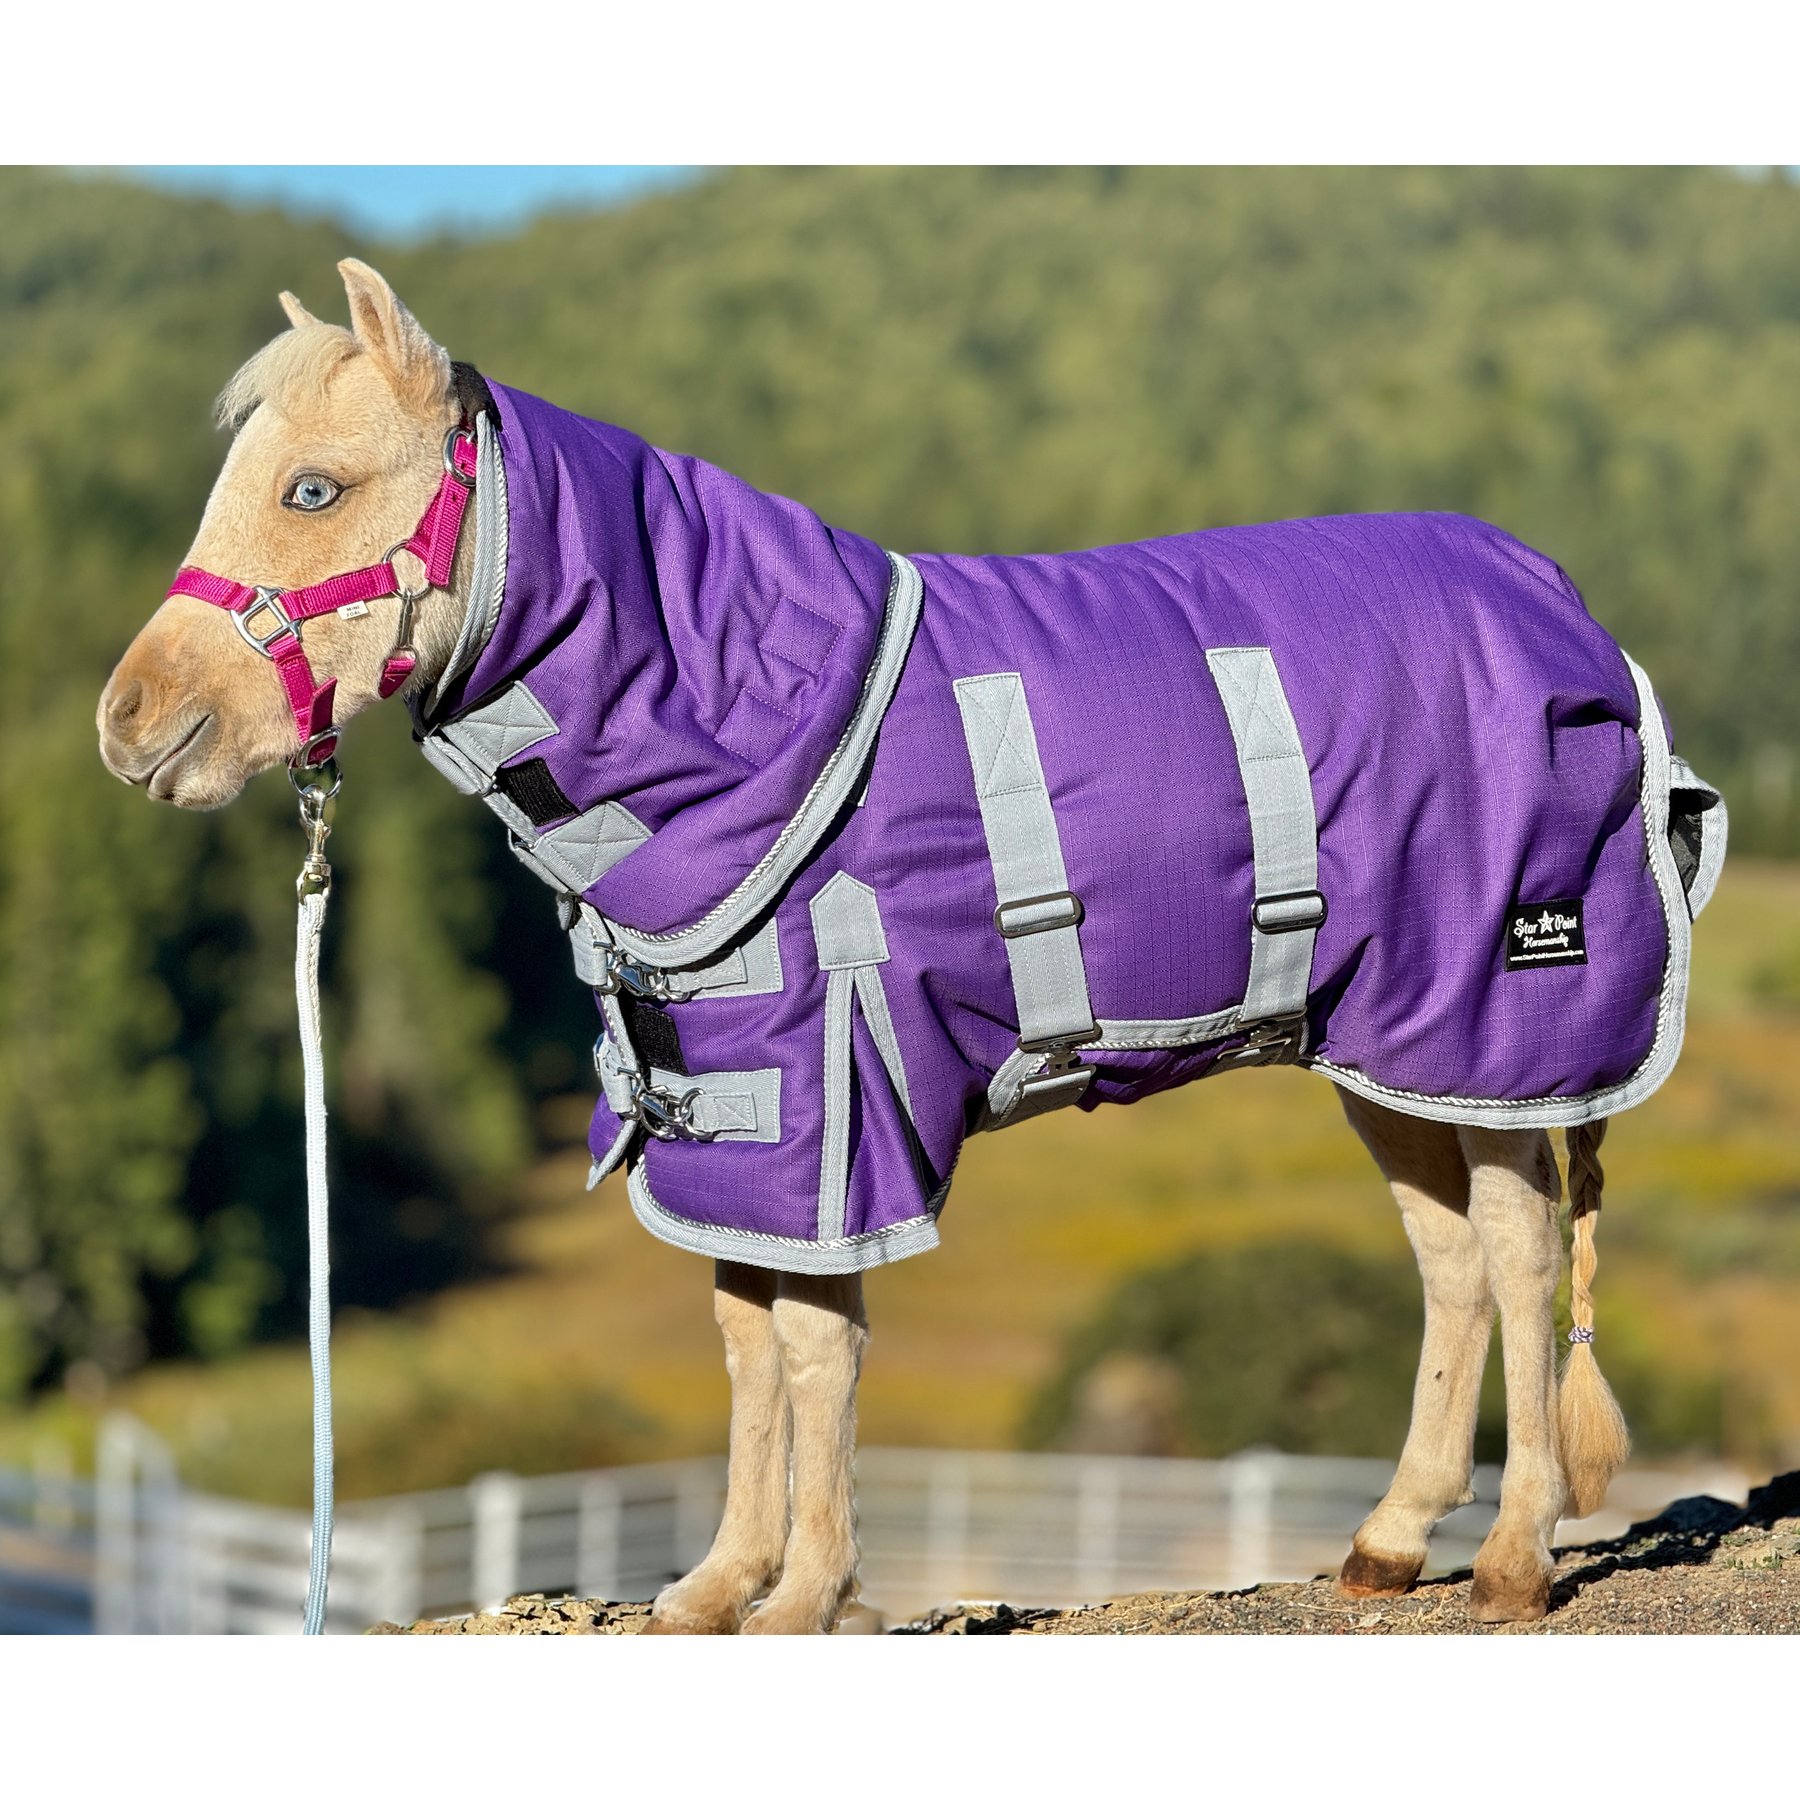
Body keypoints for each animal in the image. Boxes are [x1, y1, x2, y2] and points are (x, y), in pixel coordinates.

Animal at [99, 258, 1724, 1633]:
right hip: (1386, 1051)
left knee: (1518, 1251)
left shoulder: (835, 1094)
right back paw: (1389, 1542)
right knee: (1450, 1260)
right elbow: (748, 1341)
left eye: (314, 486)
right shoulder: (738, 1113)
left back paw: (1512, 1559)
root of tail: (1569, 616)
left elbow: (820, 1349)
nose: (131, 726)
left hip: (1495, 1023)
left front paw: (808, 1595)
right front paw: (716, 1587)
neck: (732, 709)